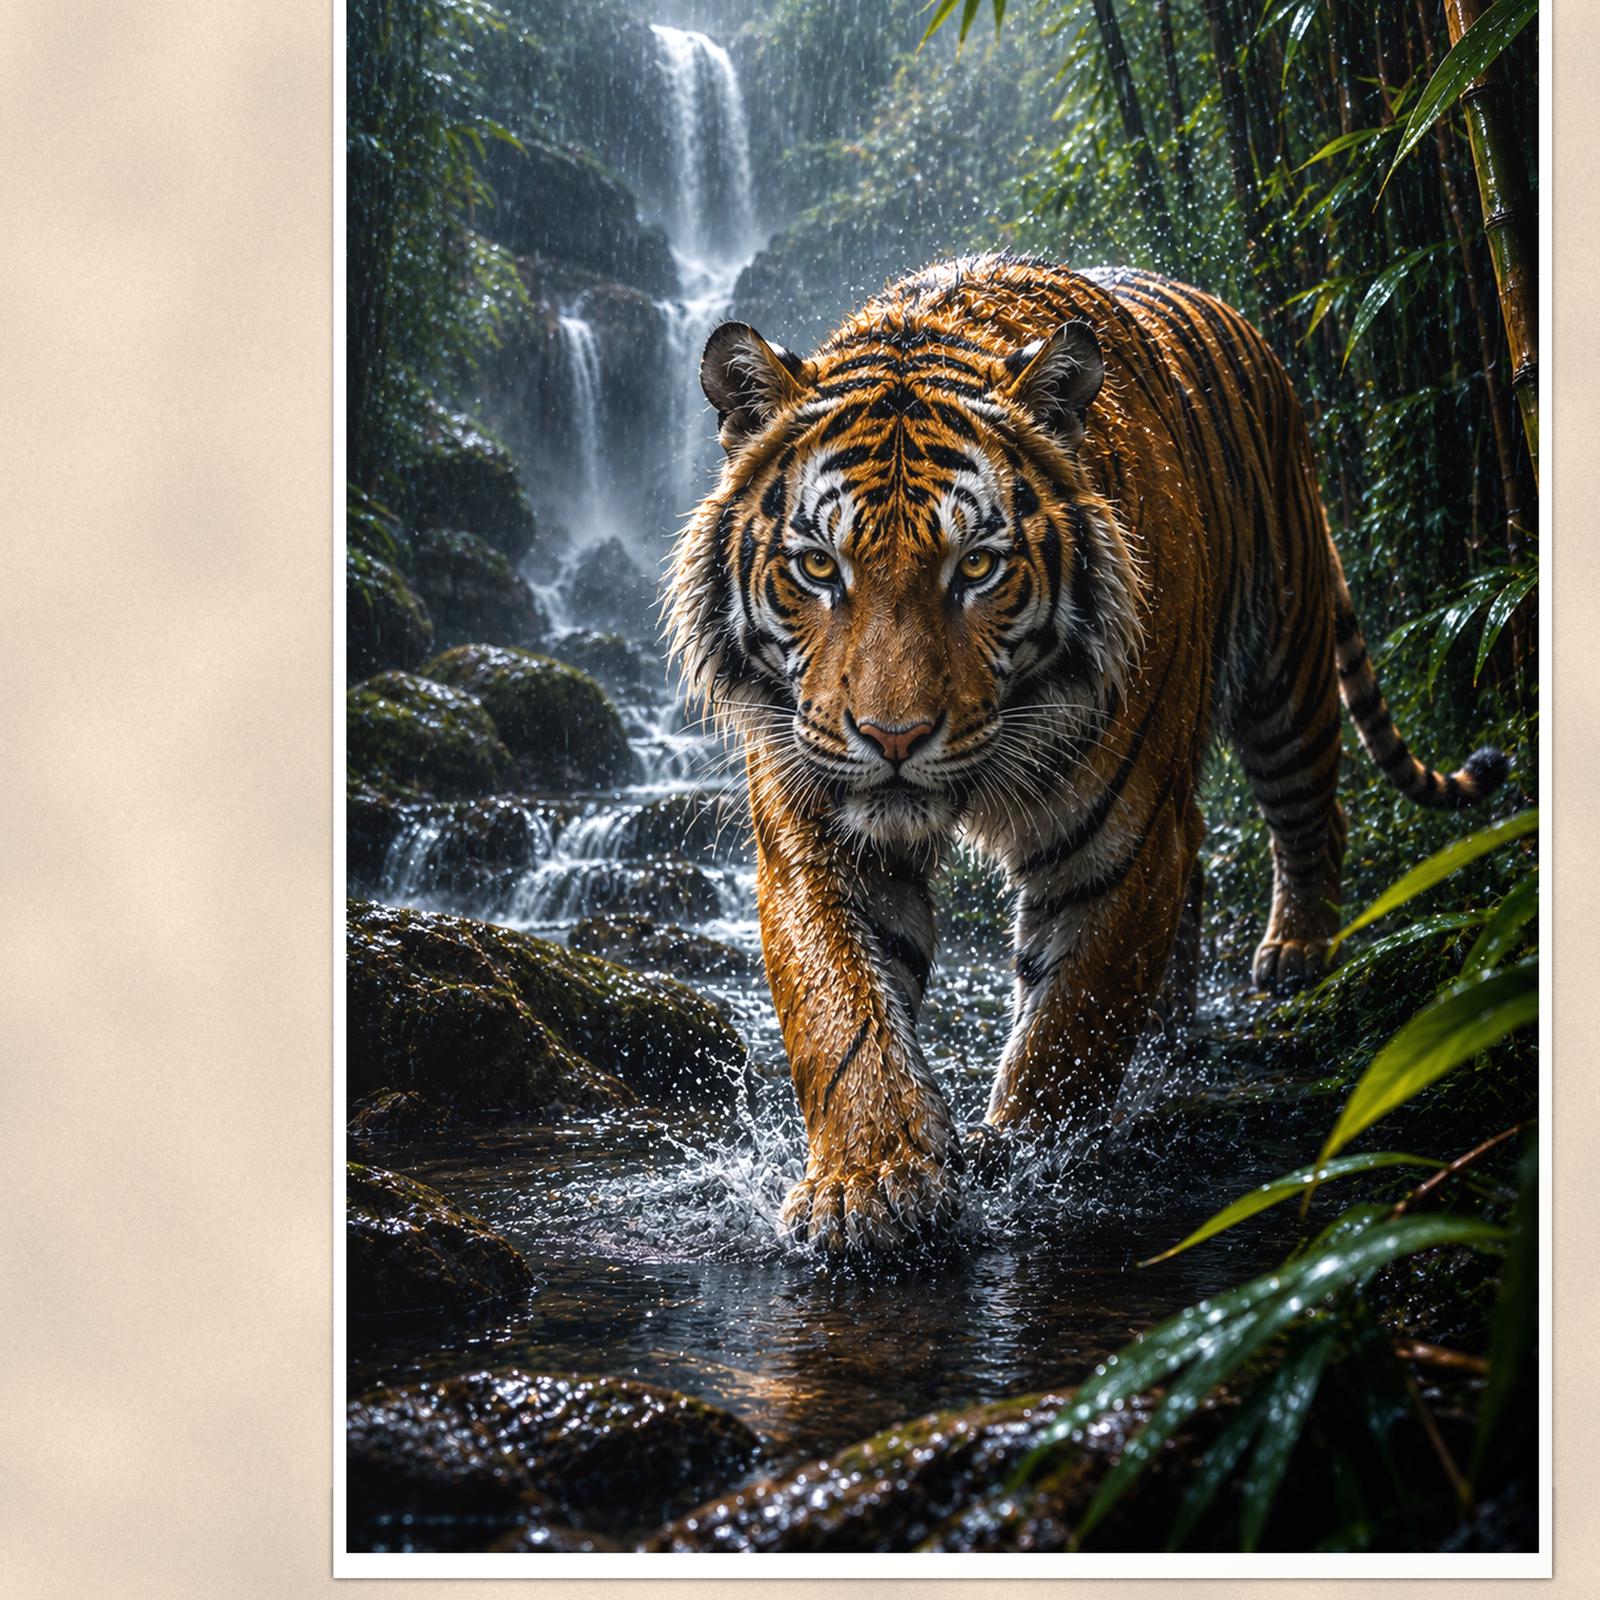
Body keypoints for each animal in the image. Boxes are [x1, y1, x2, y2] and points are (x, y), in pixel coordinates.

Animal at [665, 254, 1506, 1255]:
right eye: (819, 568)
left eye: (977, 568)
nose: (894, 738)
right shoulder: (822, 831)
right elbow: (842, 1014)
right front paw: (869, 1184)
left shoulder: (1116, 838)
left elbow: (1071, 1022)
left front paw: (1023, 1156)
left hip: (1284, 662)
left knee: (1310, 811)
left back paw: (1298, 950)